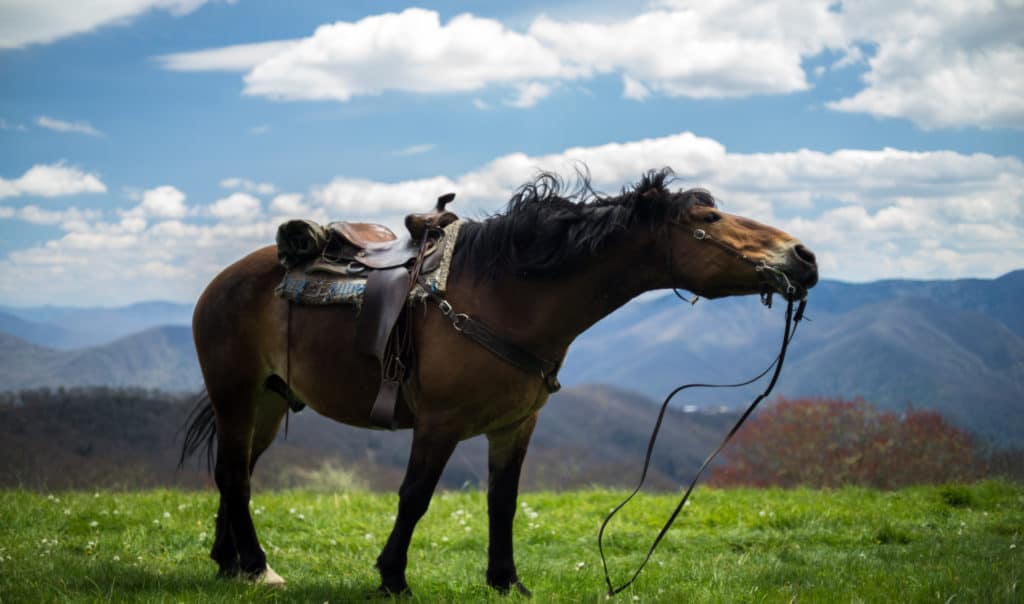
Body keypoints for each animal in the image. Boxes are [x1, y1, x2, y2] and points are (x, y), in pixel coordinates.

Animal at [180, 168, 818, 596]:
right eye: (709, 220)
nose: (804, 256)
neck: (507, 294)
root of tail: (222, 280)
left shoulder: (515, 426)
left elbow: (502, 502)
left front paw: (506, 581)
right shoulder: (438, 425)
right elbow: (414, 497)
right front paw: (393, 578)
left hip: (269, 402)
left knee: (236, 472)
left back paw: (229, 561)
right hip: (236, 393)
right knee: (235, 475)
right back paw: (258, 566)